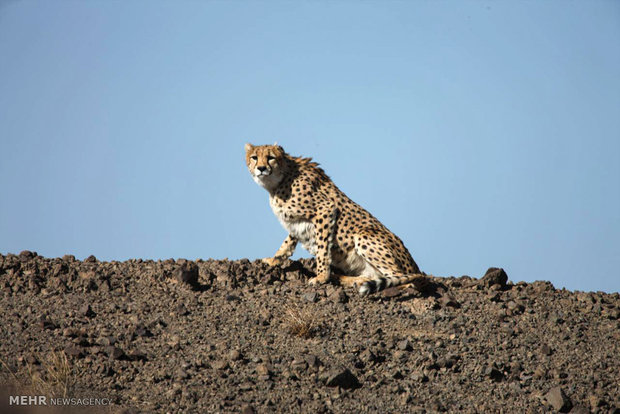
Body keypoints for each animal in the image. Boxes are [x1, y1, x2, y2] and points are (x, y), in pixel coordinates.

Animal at [245, 144, 428, 296]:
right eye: (254, 157)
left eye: (270, 157)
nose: (261, 168)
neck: (279, 179)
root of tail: (417, 269)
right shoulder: (296, 223)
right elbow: (287, 243)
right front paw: (273, 260)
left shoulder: (325, 210)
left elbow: (322, 247)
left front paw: (321, 277)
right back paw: (350, 279)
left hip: (364, 235)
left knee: (404, 281)